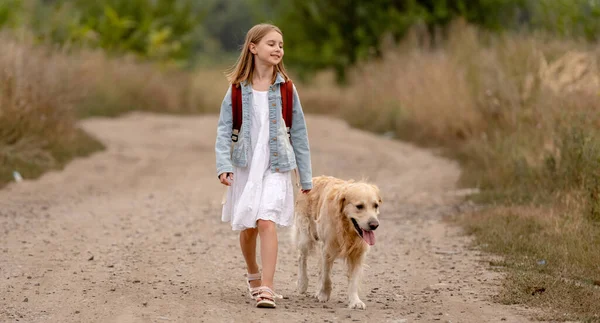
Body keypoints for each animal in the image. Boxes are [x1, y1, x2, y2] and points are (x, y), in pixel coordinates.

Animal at [292, 176, 382, 310]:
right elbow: (327, 277)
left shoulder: (358, 253)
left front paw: (355, 301)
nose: (374, 225)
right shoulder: (327, 248)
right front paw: (324, 294)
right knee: (301, 257)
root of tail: (314, 178)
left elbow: (353, 280)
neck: (346, 227)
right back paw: (302, 284)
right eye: (359, 206)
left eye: (375, 205)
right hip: (305, 235)